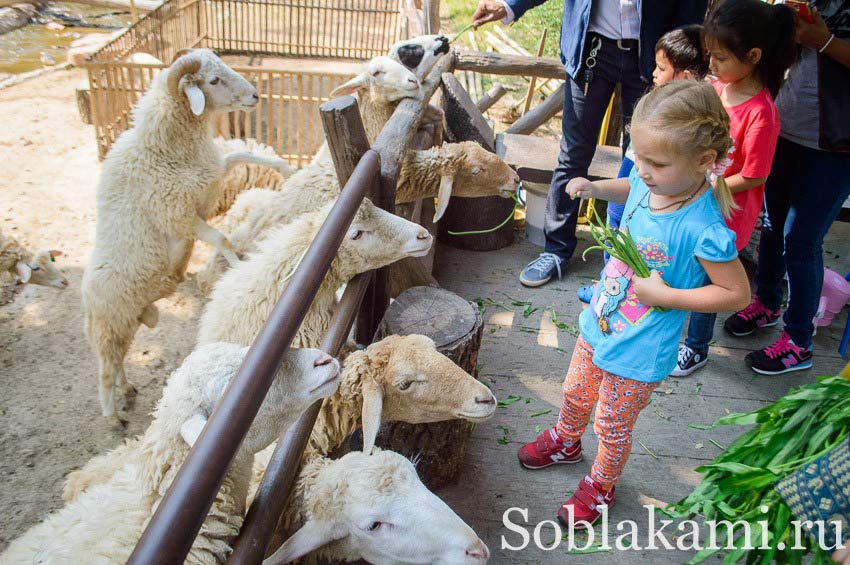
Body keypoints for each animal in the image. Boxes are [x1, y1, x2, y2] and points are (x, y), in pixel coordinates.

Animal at [80, 46, 292, 420]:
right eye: (214, 80)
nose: (254, 96)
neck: (162, 148)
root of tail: (85, 297)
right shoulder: (178, 215)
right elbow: (221, 238)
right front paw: (237, 266)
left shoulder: (209, 181)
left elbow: (241, 153)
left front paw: (285, 168)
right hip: (108, 327)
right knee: (105, 371)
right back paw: (113, 414)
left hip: (126, 323)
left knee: (118, 364)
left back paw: (127, 389)